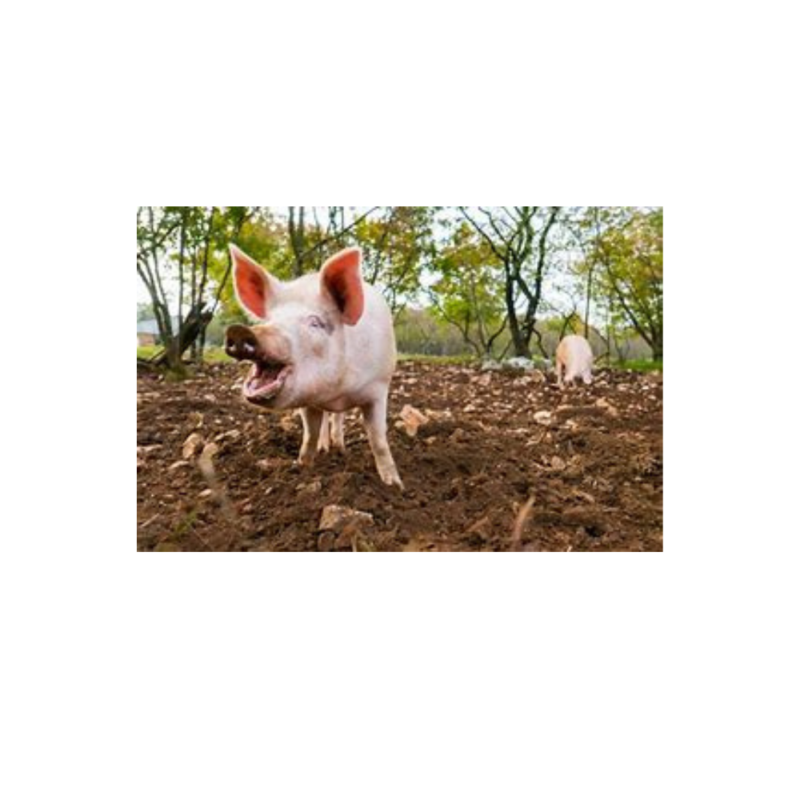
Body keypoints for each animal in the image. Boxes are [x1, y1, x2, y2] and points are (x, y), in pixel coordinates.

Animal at [224, 244, 403, 488]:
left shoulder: (378, 388)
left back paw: (340, 448)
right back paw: (325, 448)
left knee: (338, 418)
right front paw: (302, 468)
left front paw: (395, 486)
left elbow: (378, 440)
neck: (337, 392)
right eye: (269, 320)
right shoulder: (308, 402)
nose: (239, 331)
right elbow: (309, 436)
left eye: (315, 323)